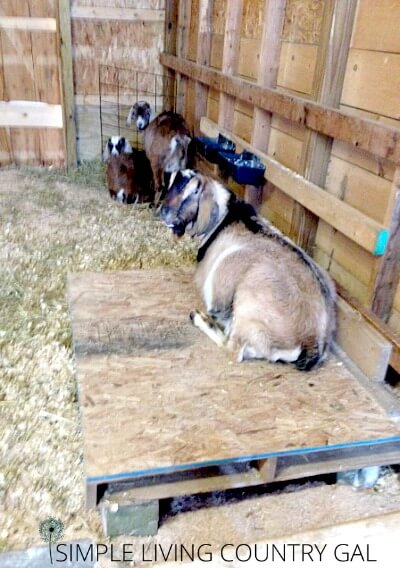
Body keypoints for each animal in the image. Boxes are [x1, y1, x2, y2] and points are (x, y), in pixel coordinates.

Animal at [161, 169, 336, 372]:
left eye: (193, 190)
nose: (162, 212)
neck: (225, 218)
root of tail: (311, 341)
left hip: (246, 308)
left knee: (232, 348)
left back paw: (199, 318)